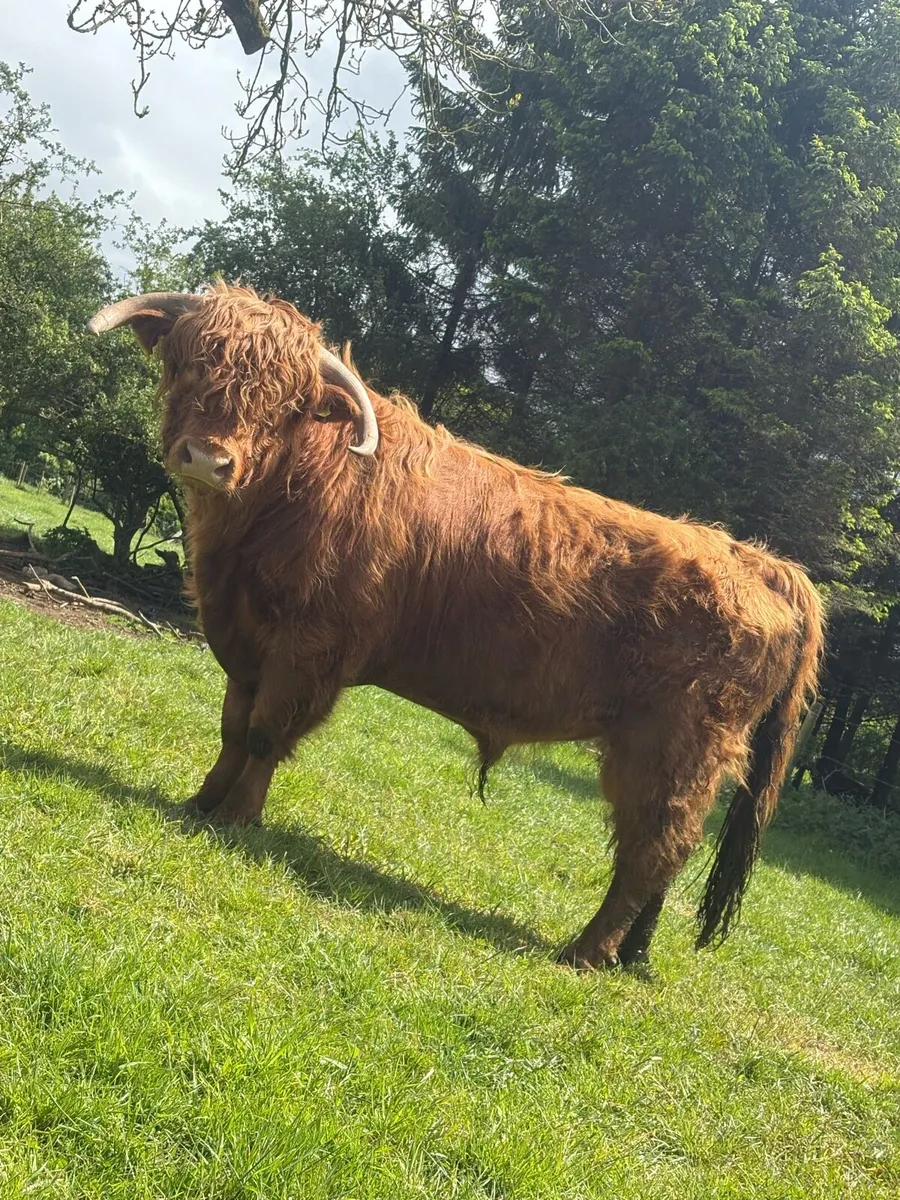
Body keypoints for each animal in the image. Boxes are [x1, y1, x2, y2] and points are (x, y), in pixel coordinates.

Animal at [87, 283, 824, 971]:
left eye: (286, 401)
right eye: (187, 363)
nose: (208, 459)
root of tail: (758, 559)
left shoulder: (309, 647)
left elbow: (267, 734)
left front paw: (238, 819)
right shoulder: (244, 640)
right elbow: (234, 730)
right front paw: (200, 803)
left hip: (673, 747)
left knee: (652, 848)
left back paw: (587, 952)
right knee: (668, 857)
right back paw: (632, 955)